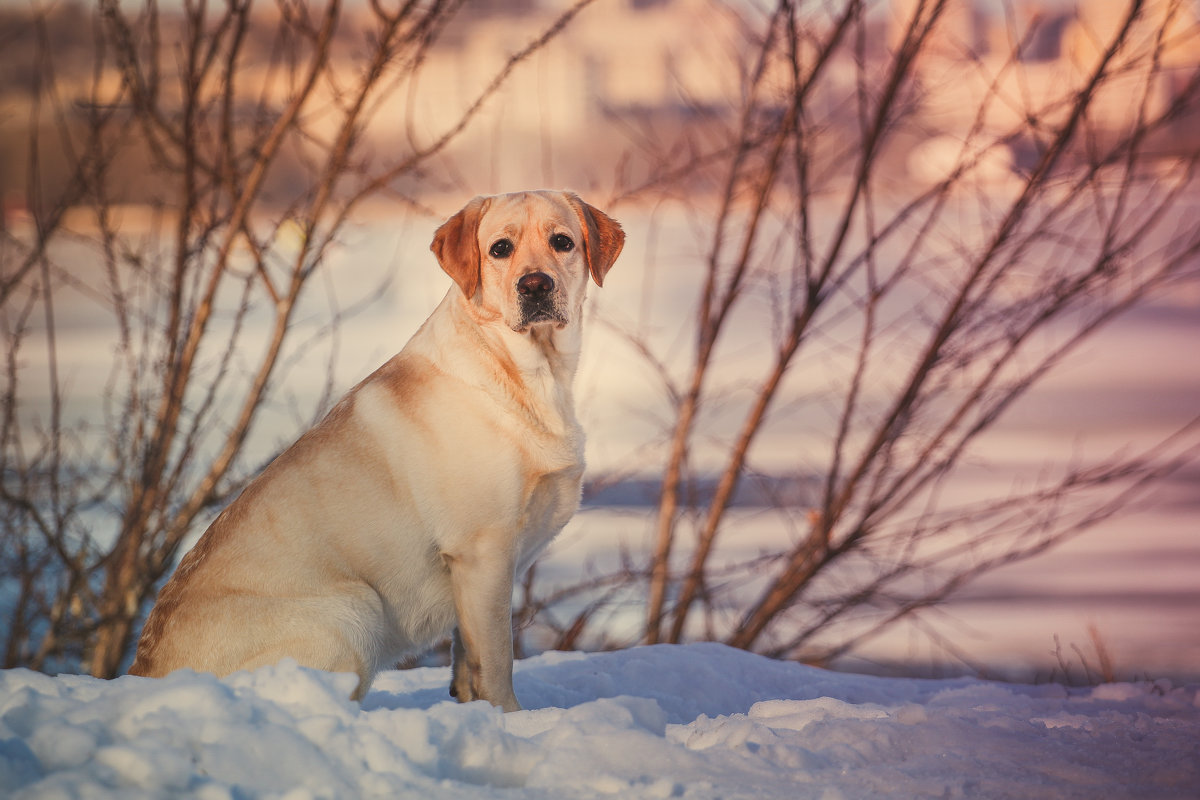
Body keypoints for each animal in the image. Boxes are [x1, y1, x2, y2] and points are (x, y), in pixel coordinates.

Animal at [127, 190, 624, 710]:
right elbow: (496, 661)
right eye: (500, 249)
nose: (535, 285)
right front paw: (509, 717)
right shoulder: (482, 552)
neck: (527, 371)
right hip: (356, 611)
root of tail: (143, 671)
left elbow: (465, 661)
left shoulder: (473, 573)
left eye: (563, 242)